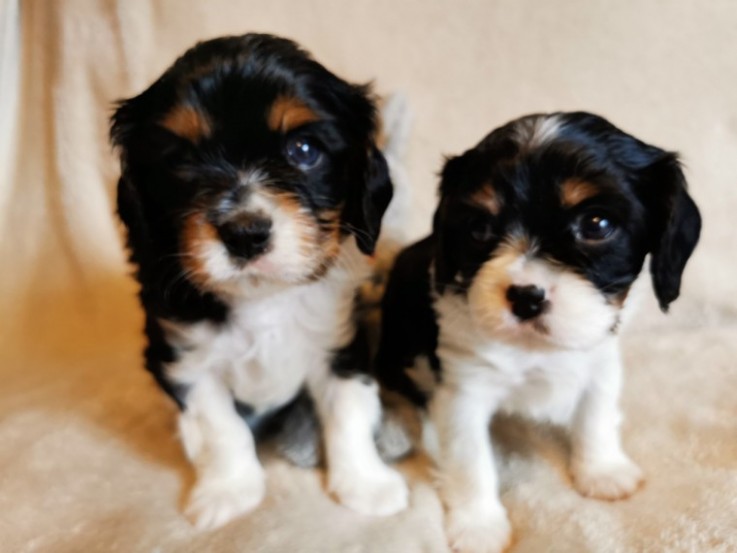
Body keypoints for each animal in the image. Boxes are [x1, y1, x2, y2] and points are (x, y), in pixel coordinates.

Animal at [110, 32, 408, 528]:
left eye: (303, 150)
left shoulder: (338, 343)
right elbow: (221, 428)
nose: (245, 233)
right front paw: (228, 492)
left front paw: (367, 485)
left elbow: (348, 409)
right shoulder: (185, 358)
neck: (263, 298)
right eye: (182, 161)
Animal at [376, 112, 700, 552]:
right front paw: (478, 525)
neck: (537, 348)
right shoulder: (463, 388)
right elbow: (470, 457)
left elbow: (596, 411)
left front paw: (602, 469)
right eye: (478, 227)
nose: (526, 298)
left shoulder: (601, 358)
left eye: (597, 223)